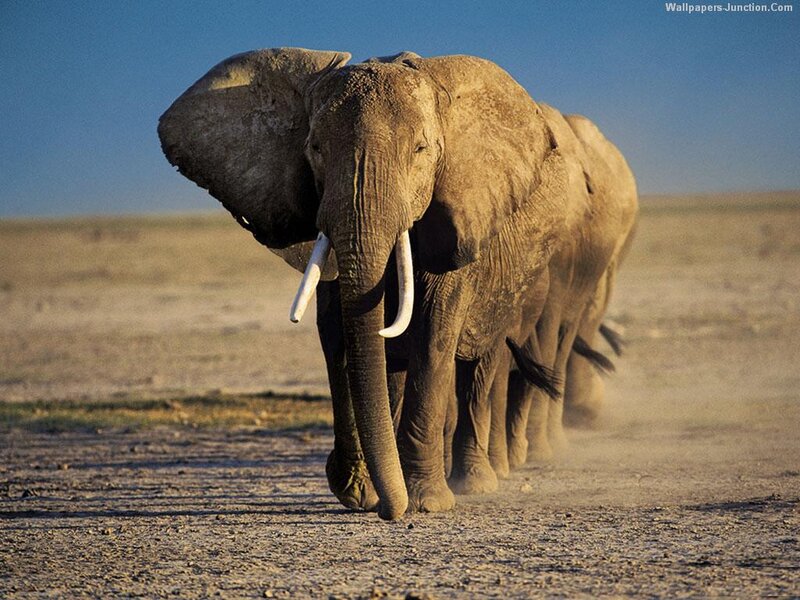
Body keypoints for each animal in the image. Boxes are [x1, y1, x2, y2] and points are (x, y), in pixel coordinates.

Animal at [158, 47, 635, 519]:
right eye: (314, 148)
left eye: (422, 149)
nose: (389, 509)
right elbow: (339, 333)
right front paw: (358, 492)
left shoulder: (460, 211)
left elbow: (433, 329)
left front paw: (424, 502)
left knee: (490, 360)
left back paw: (479, 481)